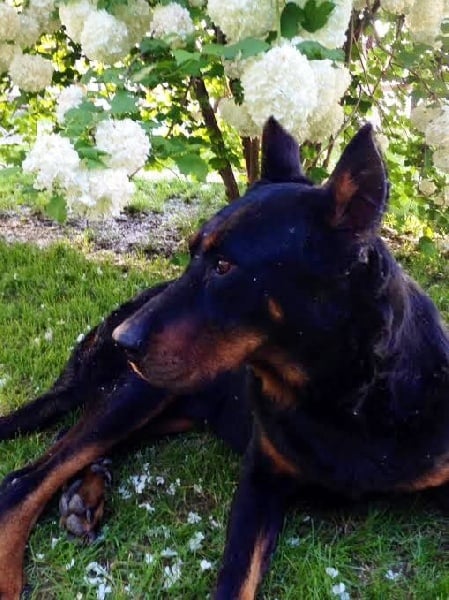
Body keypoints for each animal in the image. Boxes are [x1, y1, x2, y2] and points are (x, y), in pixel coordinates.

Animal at [2, 117, 449, 599]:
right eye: (193, 253)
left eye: (224, 267)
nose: (123, 341)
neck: (345, 397)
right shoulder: (260, 478)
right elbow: (236, 580)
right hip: (139, 391)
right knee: (25, 478)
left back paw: (87, 490)